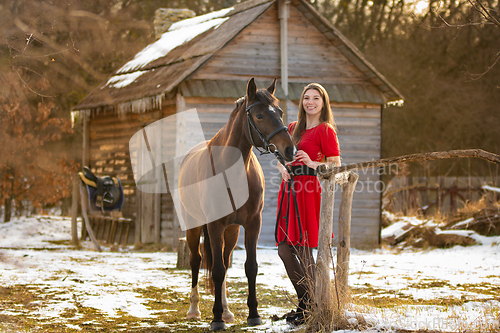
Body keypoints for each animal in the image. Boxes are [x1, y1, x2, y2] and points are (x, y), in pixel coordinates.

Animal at [180, 78, 294, 330]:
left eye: (280, 112)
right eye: (259, 115)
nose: (289, 149)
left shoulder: (252, 224)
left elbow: (249, 267)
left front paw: (253, 314)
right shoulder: (214, 225)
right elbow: (216, 270)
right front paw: (216, 319)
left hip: (231, 231)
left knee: (224, 259)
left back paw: (227, 311)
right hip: (194, 226)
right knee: (196, 261)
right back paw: (194, 310)